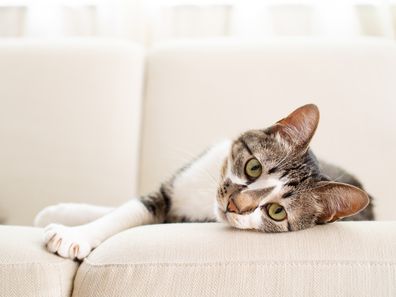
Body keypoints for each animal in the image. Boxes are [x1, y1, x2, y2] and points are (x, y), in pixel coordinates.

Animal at [34, 104, 374, 260]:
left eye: (276, 212)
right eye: (253, 167)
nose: (234, 204)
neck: (205, 199)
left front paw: (72, 235)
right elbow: (128, 208)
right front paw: (63, 218)